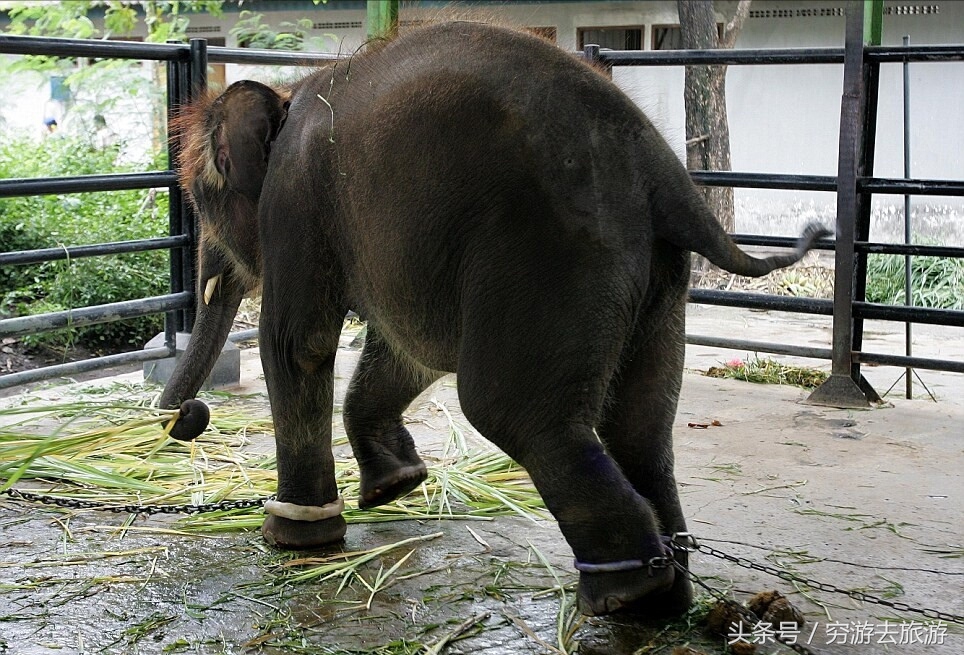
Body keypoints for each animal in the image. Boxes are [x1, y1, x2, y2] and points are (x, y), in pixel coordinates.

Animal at [158, 19, 828, 616]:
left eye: (201, 199)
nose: (188, 417)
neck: (289, 91)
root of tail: (664, 176)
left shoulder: (296, 201)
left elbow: (302, 343)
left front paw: (293, 537)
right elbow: (406, 350)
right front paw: (394, 488)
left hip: (553, 254)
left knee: (513, 411)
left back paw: (620, 595)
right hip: (658, 277)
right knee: (640, 430)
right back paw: (663, 602)